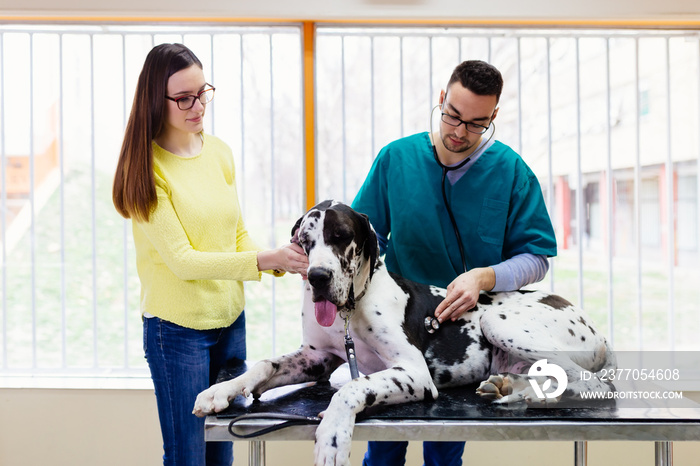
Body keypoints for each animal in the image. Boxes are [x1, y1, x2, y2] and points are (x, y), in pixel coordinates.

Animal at [194, 200, 616, 466]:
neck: (353, 307)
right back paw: (510, 387)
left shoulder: (414, 373)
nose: (318, 277)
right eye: (305, 241)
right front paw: (222, 389)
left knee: (594, 384)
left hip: (498, 323)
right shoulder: (317, 357)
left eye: (341, 235)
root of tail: (596, 329)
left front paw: (332, 435)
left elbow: (351, 387)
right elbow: (263, 365)